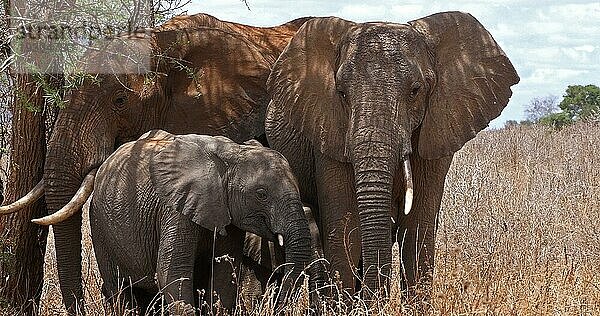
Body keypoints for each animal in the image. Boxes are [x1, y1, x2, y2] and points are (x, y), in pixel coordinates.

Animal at [92, 130, 314, 314]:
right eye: (261, 194)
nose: (277, 305)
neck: (232, 154)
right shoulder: (177, 207)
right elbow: (172, 273)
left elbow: (224, 276)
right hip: (100, 228)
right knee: (119, 289)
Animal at [264, 11, 516, 296]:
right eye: (341, 93)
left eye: (415, 90)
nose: (375, 299)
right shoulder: (327, 132)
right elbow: (345, 229)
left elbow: (416, 230)